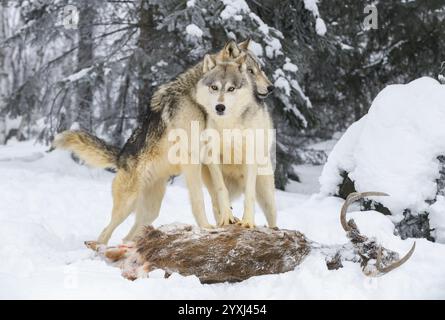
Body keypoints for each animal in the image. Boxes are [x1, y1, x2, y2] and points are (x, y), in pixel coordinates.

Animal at [52, 40, 274, 245]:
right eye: (251, 71)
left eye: (260, 69)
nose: (271, 88)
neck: (196, 101)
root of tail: (121, 156)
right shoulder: (193, 158)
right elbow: (200, 199)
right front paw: (207, 227)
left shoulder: (204, 159)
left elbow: (216, 197)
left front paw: (226, 220)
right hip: (126, 206)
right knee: (106, 232)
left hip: (150, 212)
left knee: (127, 236)